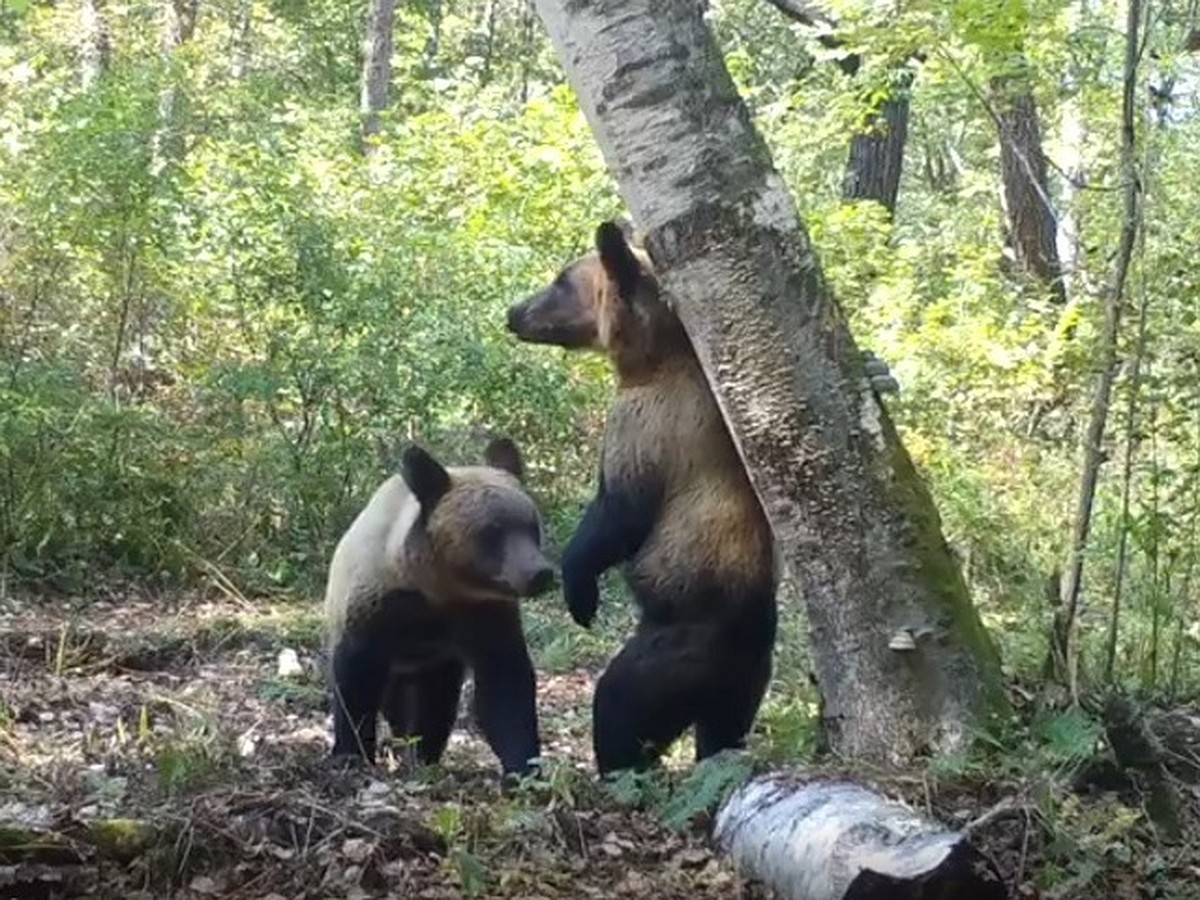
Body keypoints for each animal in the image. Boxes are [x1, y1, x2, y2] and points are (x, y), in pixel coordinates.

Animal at [324, 436, 556, 777]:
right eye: (492, 531)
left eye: (530, 525)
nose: (539, 573)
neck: (437, 588)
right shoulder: (376, 607)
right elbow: (355, 680)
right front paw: (350, 753)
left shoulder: (483, 614)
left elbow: (504, 684)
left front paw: (523, 768)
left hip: (435, 664)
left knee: (434, 701)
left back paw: (422, 754)